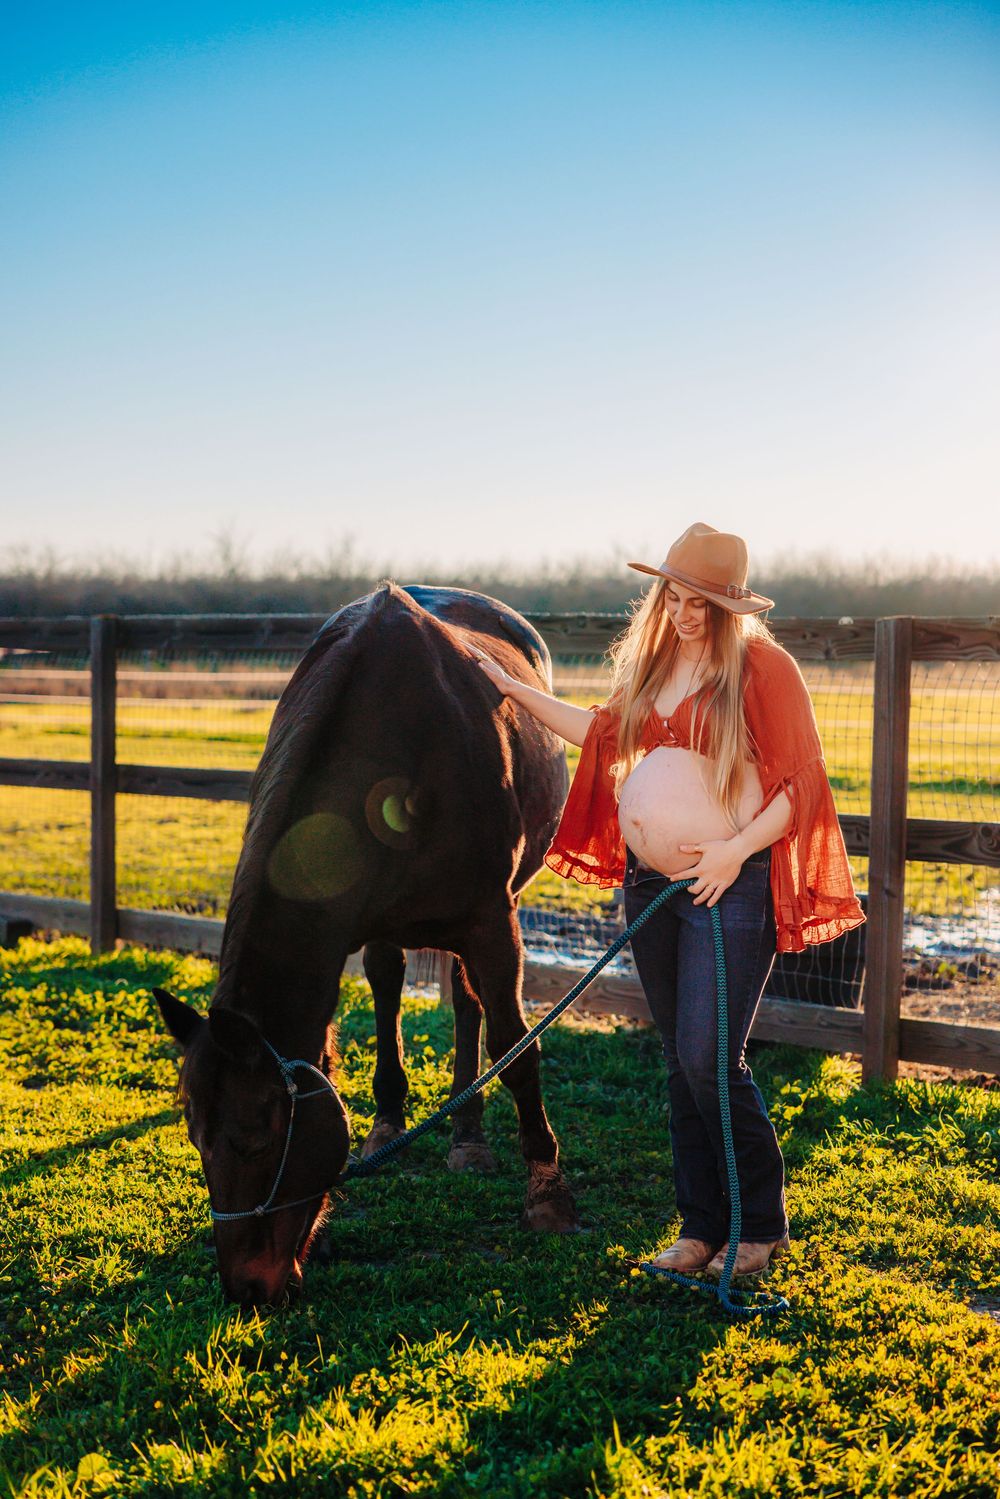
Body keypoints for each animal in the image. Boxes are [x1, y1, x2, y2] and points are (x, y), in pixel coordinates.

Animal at [155, 581, 577, 1306]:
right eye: (197, 1141)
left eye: (254, 1140)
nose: (246, 1288)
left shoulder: (493, 920)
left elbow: (516, 1049)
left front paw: (547, 1192)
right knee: (397, 984)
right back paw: (408, 1124)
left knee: (470, 1004)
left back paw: (469, 1135)